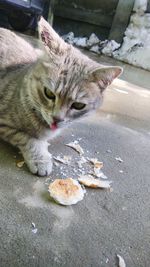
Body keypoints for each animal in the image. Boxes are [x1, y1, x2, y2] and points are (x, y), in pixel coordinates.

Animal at [0, 16, 122, 176]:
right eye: (49, 93)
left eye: (78, 105)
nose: (57, 119)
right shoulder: (4, 123)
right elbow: (27, 138)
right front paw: (41, 158)